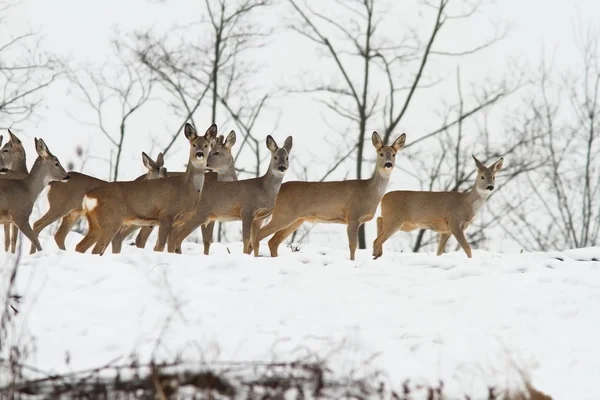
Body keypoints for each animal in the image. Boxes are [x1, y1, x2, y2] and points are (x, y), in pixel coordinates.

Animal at [31, 150, 170, 253]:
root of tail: (52, 183)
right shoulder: (119, 228)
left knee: (59, 235)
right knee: (38, 225)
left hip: (73, 214)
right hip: (59, 207)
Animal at [74, 123, 216, 256]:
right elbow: (160, 246)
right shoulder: (166, 215)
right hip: (111, 219)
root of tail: (89, 196)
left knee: (80, 246)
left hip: (95, 223)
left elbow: (171, 248)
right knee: (96, 249)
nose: (199, 154)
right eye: (193, 144)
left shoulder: (177, 222)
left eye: (206, 145)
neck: (186, 188)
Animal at [255, 132, 406, 262]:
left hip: (296, 220)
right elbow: (353, 246)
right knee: (261, 234)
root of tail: (277, 191)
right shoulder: (353, 215)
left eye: (394, 154)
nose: (388, 164)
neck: (369, 192)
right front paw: (352, 263)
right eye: (381, 154)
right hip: (283, 214)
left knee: (273, 241)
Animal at [372, 155, 504, 260]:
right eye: (482, 177)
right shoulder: (455, 223)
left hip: (400, 222)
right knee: (377, 238)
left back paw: (377, 253)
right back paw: (375, 255)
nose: (490, 186)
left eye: (494, 177)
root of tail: (383, 198)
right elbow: (467, 249)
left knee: (379, 220)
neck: (467, 205)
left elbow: (439, 252)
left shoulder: (446, 231)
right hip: (395, 219)